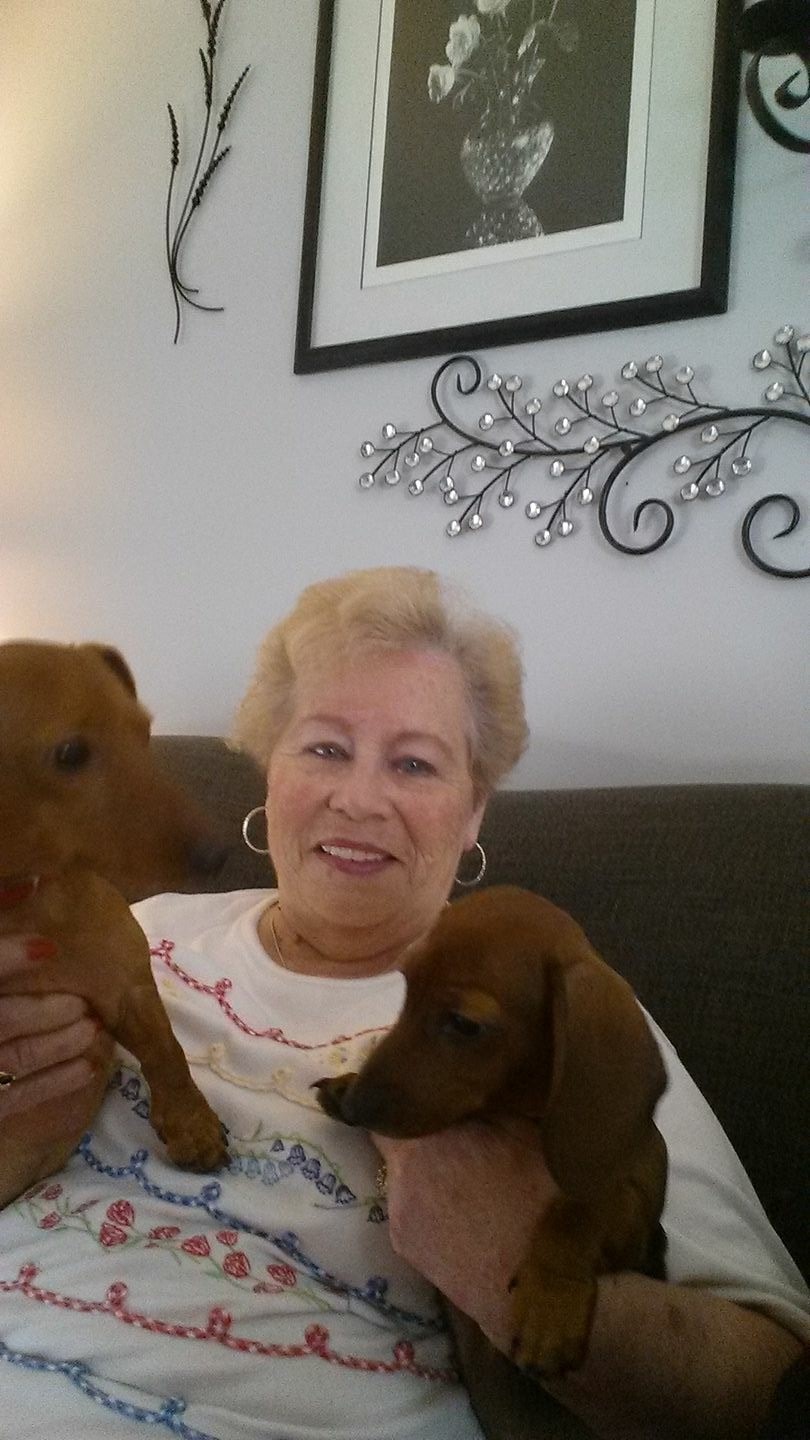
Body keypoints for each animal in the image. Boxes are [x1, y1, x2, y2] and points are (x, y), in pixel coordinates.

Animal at [0, 640, 229, 1209]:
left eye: (145, 732)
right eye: (70, 754)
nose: (219, 855)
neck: (25, 899)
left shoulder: (127, 986)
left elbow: (167, 1050)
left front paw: (192, 1125)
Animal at [314, 884, 667, 1378]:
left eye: (464, 1024)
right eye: (406, 990)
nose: (357, 1106)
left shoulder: (637, 1201)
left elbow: (580, 1207)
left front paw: (550, 1302)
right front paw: (344, 1085)